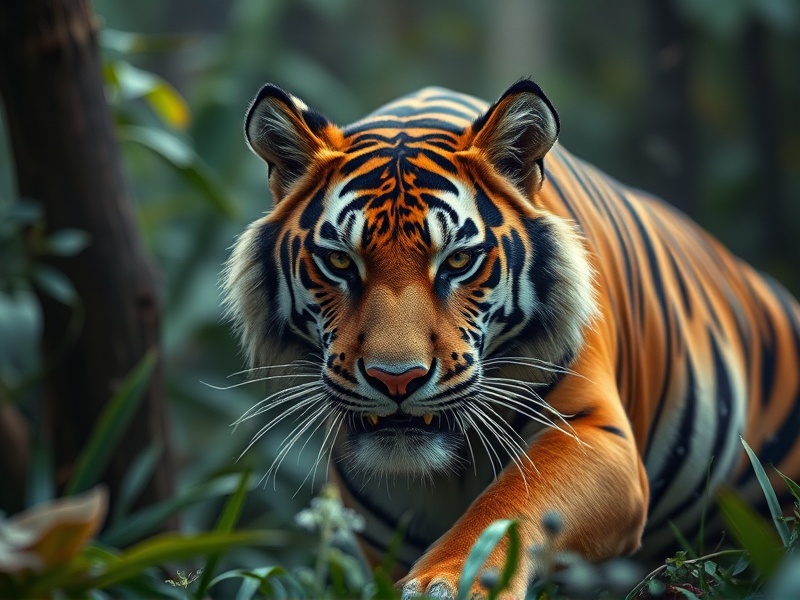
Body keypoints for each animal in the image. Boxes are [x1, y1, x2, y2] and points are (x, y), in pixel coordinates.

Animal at [223, 79, 800, 598]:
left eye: (457, 261)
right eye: (341, 262)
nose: (397, 380)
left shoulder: (595, 434)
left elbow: (513, 503)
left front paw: (449, 582)